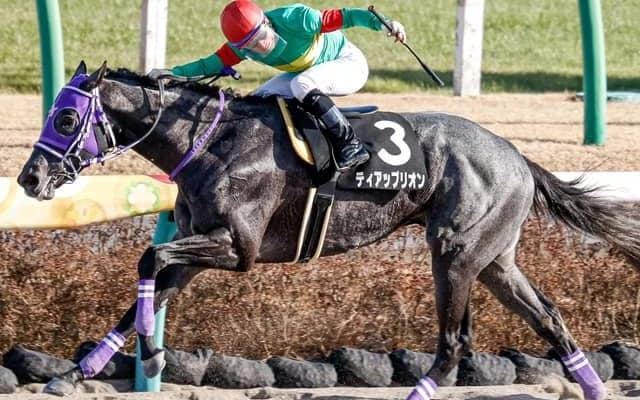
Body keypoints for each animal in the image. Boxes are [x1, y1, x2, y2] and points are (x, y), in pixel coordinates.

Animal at [17, 61, 640, 400]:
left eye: (66, 118)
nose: (29, 178)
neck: (212, 143)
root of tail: (517, 156)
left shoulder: (236, 248)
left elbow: (149, 261)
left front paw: (149, 357)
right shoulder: (198, 250)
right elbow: (146, 286)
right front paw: (77, 373)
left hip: (456, 252)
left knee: (455, 342)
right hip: (495, 260)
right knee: (549, 318)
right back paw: (590, 385)